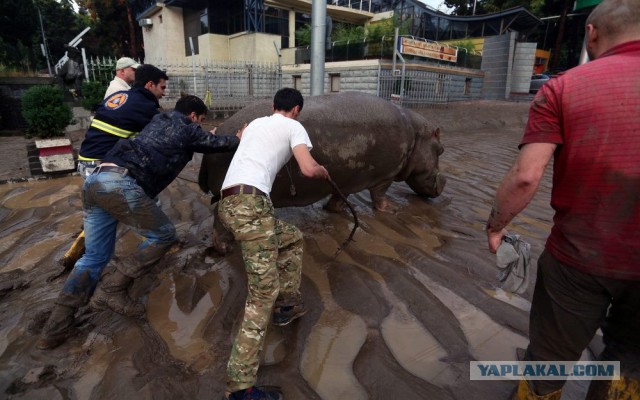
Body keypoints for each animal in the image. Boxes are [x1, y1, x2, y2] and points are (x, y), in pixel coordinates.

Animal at [199, 92, 444, 252]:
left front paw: (334, 210)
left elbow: (340, 196)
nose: (444, 183)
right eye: (441, 150)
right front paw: (393, 210)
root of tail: (219, 132)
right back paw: (225, 248)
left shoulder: (346, 179)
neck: (417, 135)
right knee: (219, 217)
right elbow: (380, 196)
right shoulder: (386, 176)